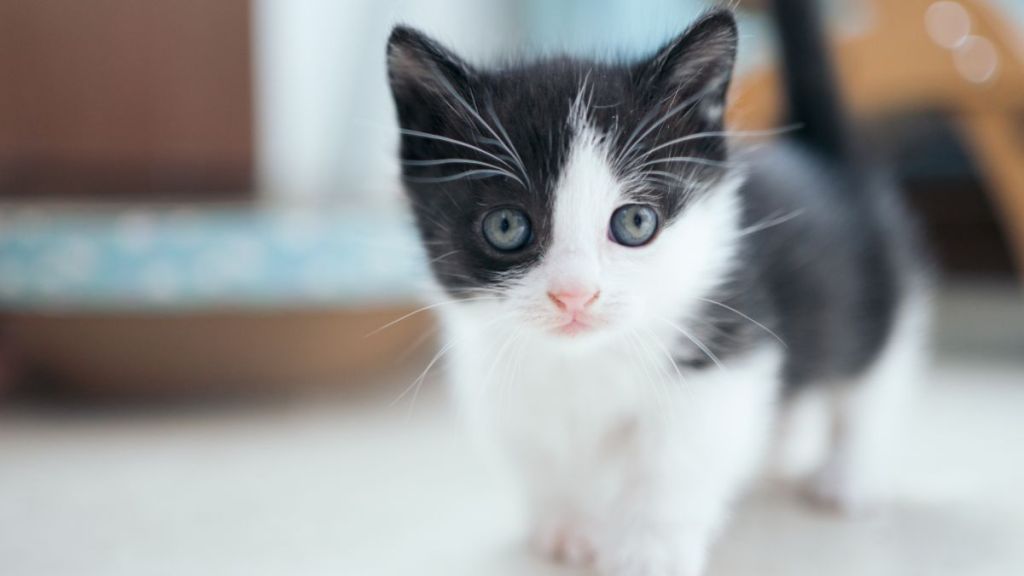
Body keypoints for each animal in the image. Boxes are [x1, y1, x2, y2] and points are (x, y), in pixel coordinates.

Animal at [385, 5, 929, 573]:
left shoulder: (726, 350)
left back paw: (849, 477)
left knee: (869, 386)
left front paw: (647, 549)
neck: (585, 361)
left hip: (876, 301)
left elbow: (678, 461)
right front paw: (568, 524)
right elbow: (541, 453)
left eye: (636, 222)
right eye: (507, 226)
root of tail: (826, 161)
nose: (575, 295)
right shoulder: (498, 376)